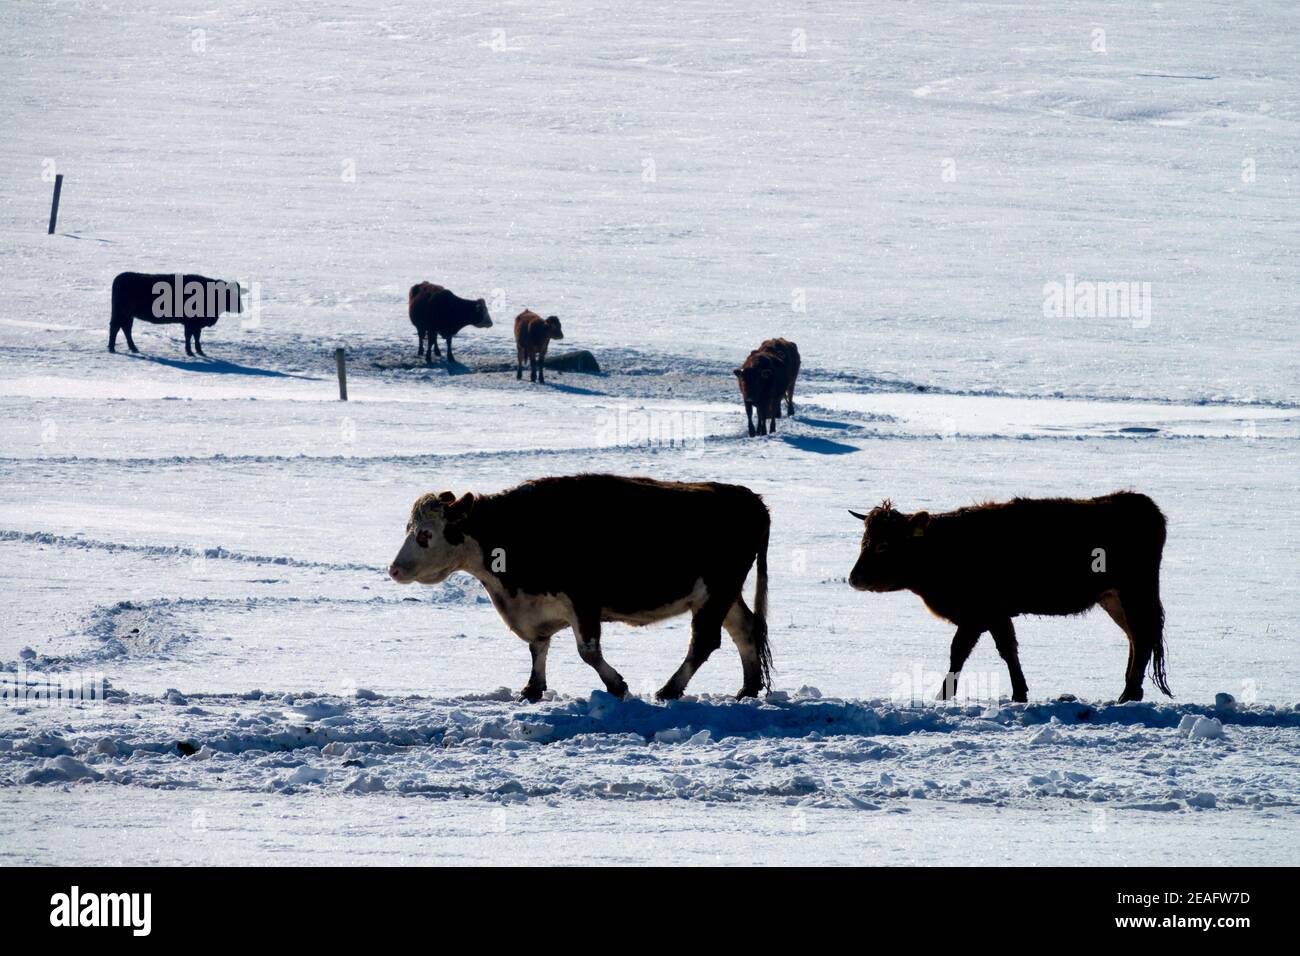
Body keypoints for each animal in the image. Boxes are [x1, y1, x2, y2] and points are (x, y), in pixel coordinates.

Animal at [107, 270, 243, 356]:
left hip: (128, 316)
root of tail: (119, 278)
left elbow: (196, 337)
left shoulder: (196, 325)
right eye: (228, 294)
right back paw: (112, 348)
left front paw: (200, 351)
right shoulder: (190, 323)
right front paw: (190, 352)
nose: (240, 308)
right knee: (115, 328)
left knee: (125, 329)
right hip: (121, 313)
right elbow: (189, 336)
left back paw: (133, 348)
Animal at [384, 473, 769, 702]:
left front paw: (617, 686)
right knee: (744, 629)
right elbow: (538, 648)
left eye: (425, 535)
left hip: (716, 593)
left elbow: (588, 651)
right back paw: (748, 689)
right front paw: (531, 689)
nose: (394, 569)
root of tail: (750, 498)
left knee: (704, 642)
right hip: (722, 595)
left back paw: (669, 690)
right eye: (408, 529)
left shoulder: (583, 601)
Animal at [847, 494, 1175, 702]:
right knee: (1135, 638)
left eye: (884, 545)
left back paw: (1127, 694)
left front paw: (943, 695)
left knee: (1142, 638)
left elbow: (962, 652)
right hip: (1115, 598)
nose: (854, 579)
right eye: (864, 541)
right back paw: (1129, 692)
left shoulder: (980, 614)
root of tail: (1138, 501)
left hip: (1135, 592)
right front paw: (1019, 693)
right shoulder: (994, 615)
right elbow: (1008, 650)